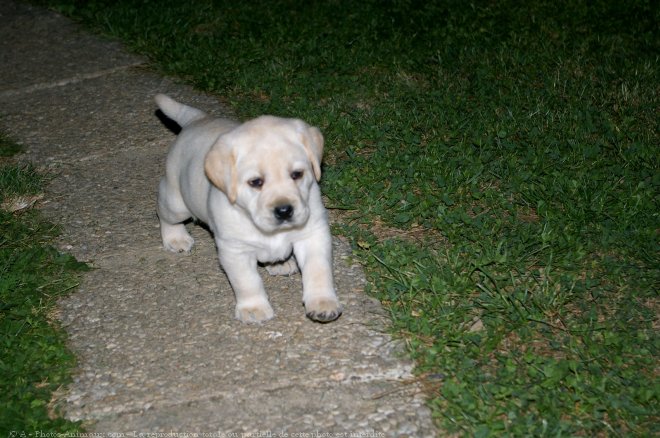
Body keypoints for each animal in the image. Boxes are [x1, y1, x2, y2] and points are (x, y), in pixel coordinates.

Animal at [154, 94, 340, 324]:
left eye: (297, 174)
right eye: (256, 182)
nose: (284, 211)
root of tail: (197, 119)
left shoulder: (313, 234)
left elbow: (318, 270)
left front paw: (323, 302)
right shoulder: (235, 251)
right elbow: (247, 281)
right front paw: (254, 308)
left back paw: (280, 263)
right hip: (176, 202)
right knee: (163, 211)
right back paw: (175, 237)